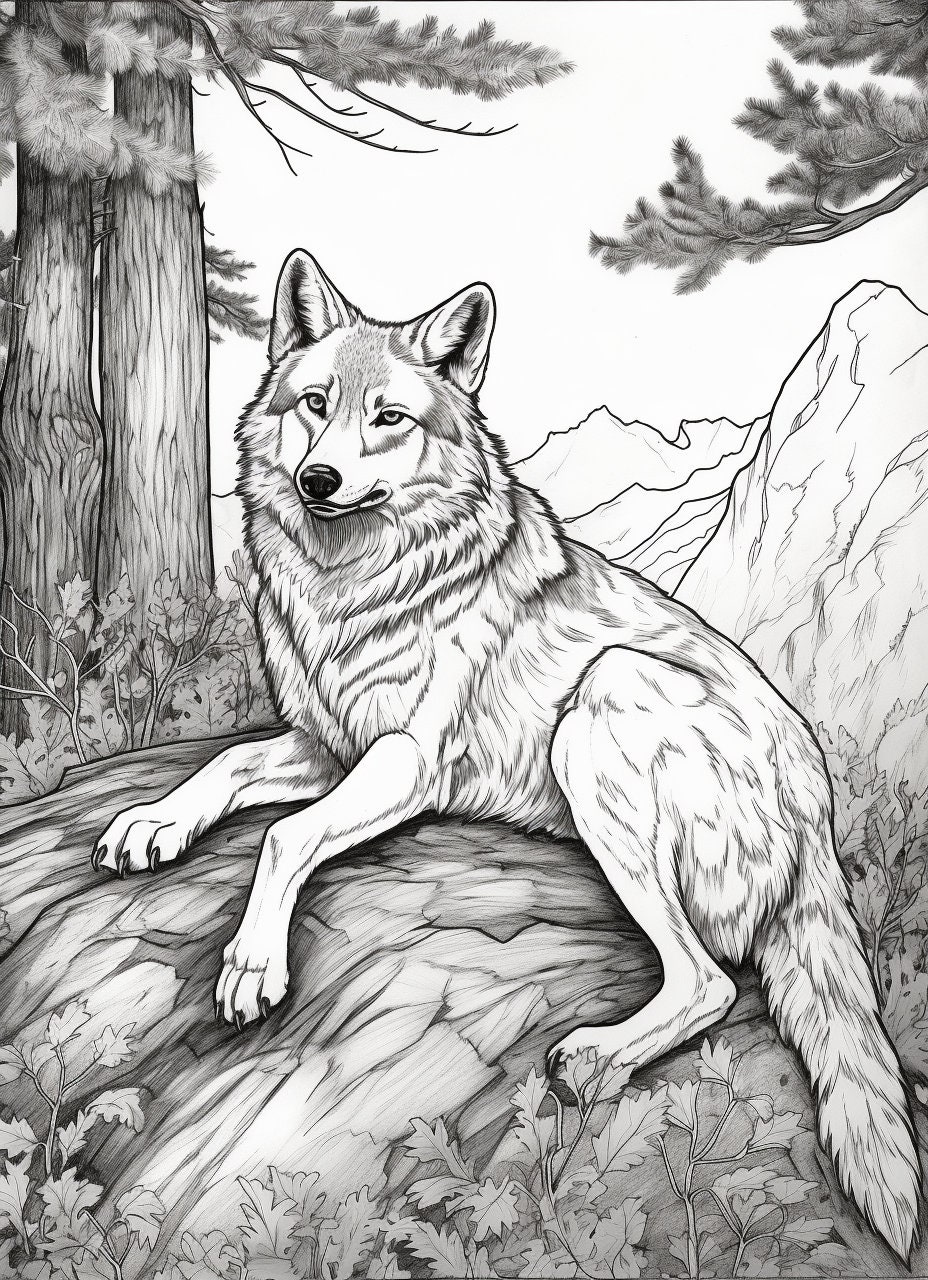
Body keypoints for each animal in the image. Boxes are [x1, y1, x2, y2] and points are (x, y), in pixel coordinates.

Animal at [93, 250, 920, 1258]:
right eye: (315, 404)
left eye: (389, 418)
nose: (320, 478)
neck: (355, 584)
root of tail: (818, 824)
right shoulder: (324, 746)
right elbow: (220, 770)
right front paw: (151, 823)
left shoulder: (405, 761)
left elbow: (282, 838)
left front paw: (252, 966)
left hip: (602, 704)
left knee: (711, 983)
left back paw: (597, 1056)